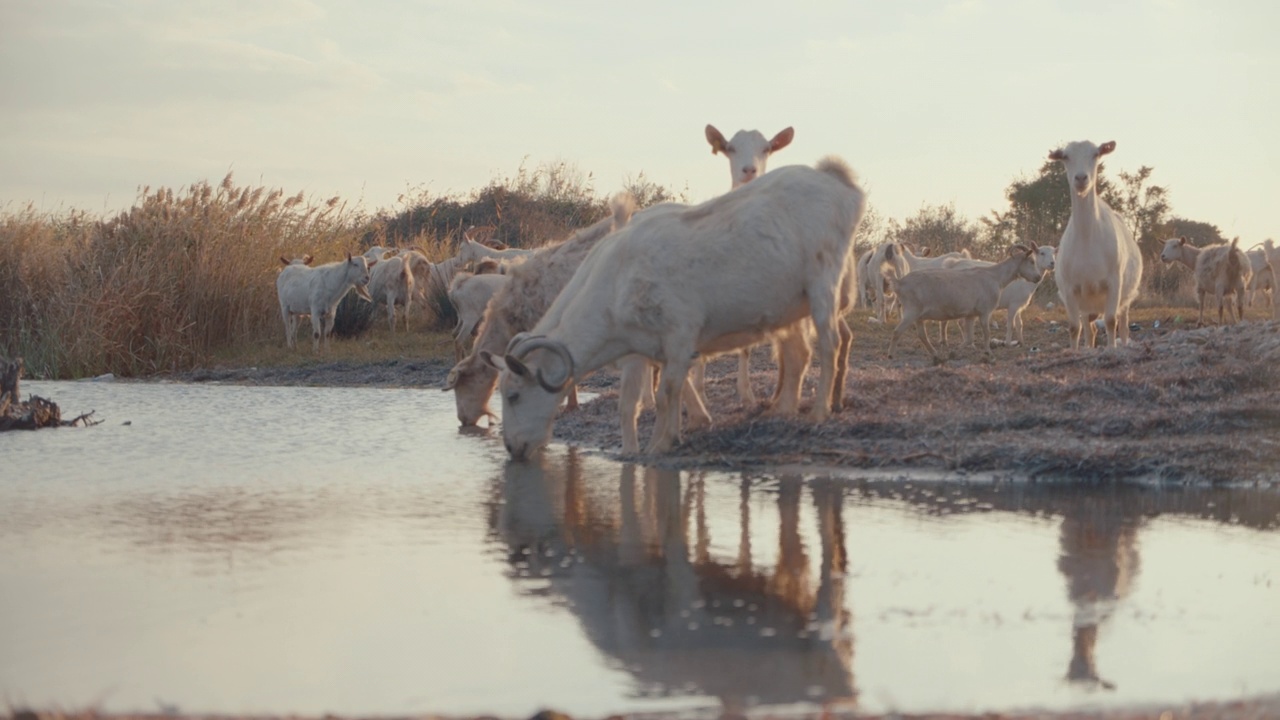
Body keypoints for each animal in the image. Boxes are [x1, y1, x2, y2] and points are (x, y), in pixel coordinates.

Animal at [483, 157, 865, 458]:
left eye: (513, 395)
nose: (513, 448)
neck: (615, 281)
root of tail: (838, 183)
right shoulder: (646, 348)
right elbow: (657, 397)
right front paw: (665, 438)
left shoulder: (679, 334)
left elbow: (666, 394)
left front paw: (658, 446)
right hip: (791, 305)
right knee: (798, 353)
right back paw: (783, 411)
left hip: (823, 282)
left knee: (829, 344)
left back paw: (819, 411)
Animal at [885, 242, 1044, 363]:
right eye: (1031, 261)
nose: (1038, 277)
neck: (995, 277)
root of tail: (899, 283)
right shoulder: (985, 311)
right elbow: (986, 333)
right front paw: (989, 353)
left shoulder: (970, 314)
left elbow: (969, 339)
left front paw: (954, 352)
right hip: (911, 310)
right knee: (897, 331)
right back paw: (891, 355)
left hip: (918, 315)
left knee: (922, 335)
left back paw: (936, 355)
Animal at [1044, 139, 1146, 348]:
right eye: (1065, 156)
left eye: (1096, 154)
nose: (1081, 178)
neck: (1087, 241)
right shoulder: (1070, 289)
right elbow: (1074, 328)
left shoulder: (1114, 282)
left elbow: (1111, 321)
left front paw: (1112, 348)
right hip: (1086, 302)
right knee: (1089, 330)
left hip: (1126, 295)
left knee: (1123, 325)